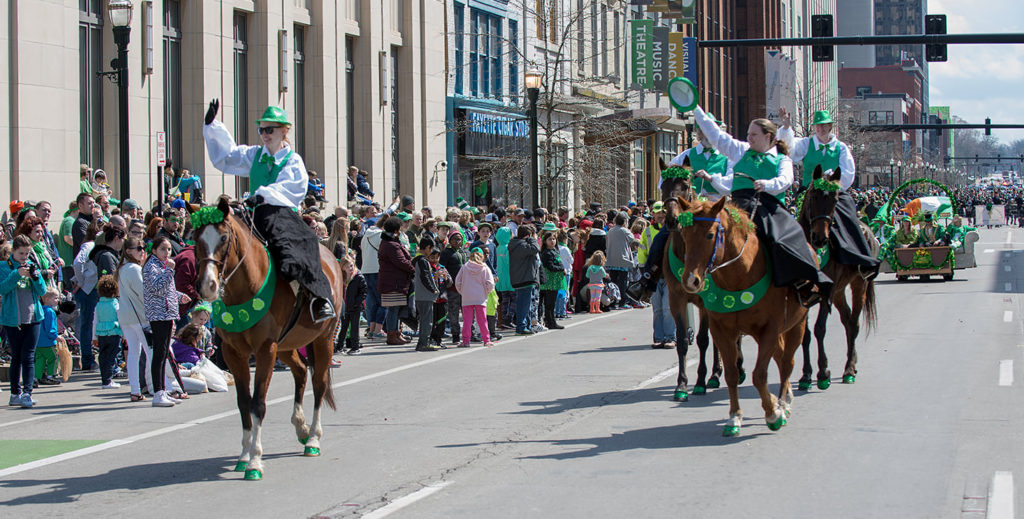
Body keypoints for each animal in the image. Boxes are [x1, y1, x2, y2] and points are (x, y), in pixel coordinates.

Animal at [193, 196, 346, 481]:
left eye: (223, 238)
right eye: (196, 237)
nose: (207, 285)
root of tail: (330, 256)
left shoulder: (265, 349)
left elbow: (258, 404)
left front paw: (254, 461)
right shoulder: (234, 352)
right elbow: (244, 402)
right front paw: (243, 456)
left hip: (323, 339)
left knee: (318, 383)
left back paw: (313, 439)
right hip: (287, 345)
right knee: (301, 371)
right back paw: (301, 427)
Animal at [671, 196, 806, 436]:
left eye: (710, 235)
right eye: (685, 234)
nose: (690, 280)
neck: (740, 275)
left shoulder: (770, 329)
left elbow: (759, 375)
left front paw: (773, 414)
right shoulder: (722, 330)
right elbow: (732, 374)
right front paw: (734, 417)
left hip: (797, 324)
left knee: (787, 362)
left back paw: (783, 403)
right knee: (781, 358)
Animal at [794, 166, 876, 388]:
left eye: (835, 199)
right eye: (813, 196)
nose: (820, 238)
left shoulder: (825, 293)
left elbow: (819, 329)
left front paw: (823, 372)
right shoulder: (803, 294)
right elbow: (805, 334)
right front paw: (806, 375)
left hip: (858, 285)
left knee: (854, 324)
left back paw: (849, 370)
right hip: (839, 292)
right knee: (847, 321)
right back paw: (852, 362)